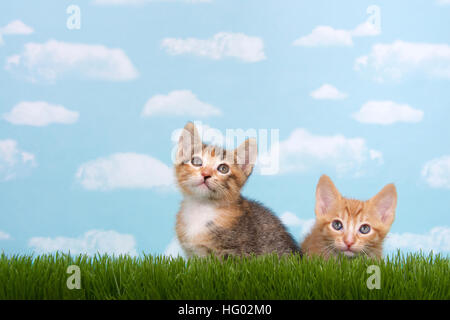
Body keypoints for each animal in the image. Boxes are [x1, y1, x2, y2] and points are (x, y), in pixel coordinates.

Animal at [174, 121, 300, 258]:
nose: (205, 174)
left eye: (223, 168)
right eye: (196, 161)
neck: (202, 207)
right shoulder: (193, 255)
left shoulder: (236, 253)